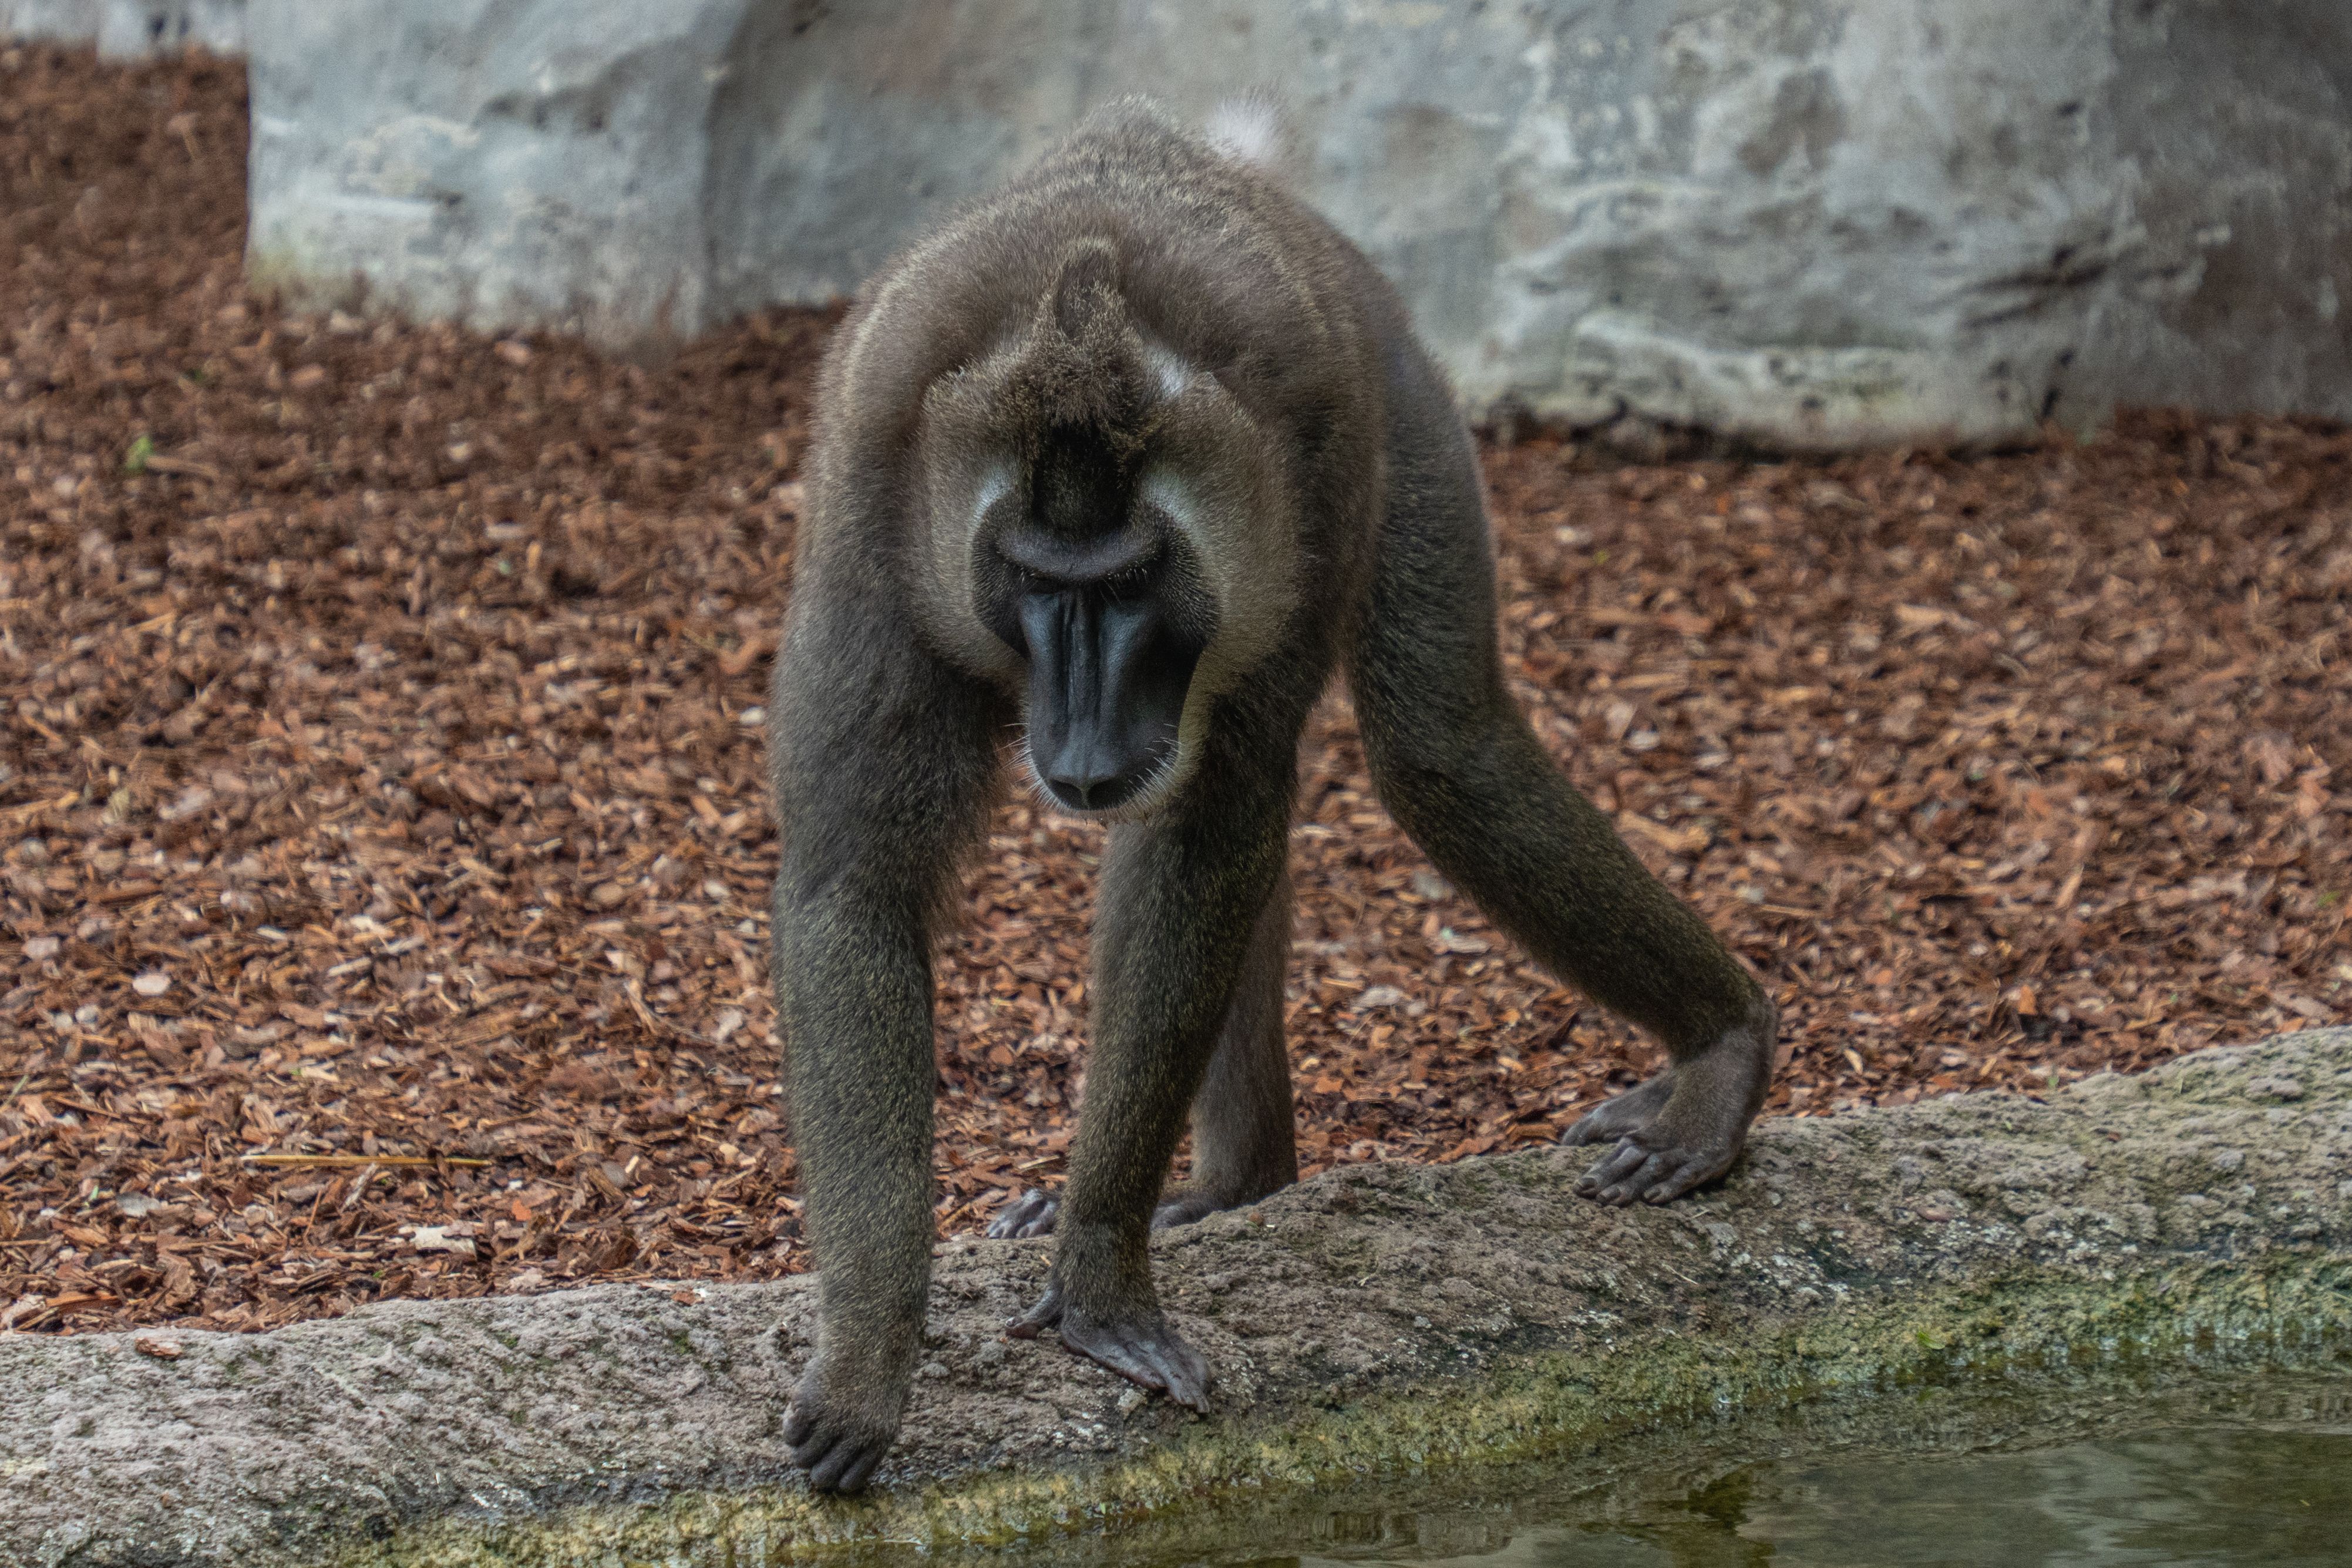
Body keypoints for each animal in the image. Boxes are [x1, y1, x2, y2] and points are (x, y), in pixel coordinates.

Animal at [766, 99, 1778, 1494]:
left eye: (1133, 583)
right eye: (1038, 582)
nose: (1085, 735)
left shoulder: (1311, 470)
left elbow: (1217, 828)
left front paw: (1098, 1278)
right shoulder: (874, 514)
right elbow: (852, 888)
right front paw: (872, 1355)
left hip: (1400, 398)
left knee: (1442, 747)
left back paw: (1720, 1042)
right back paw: (1232, 1184)